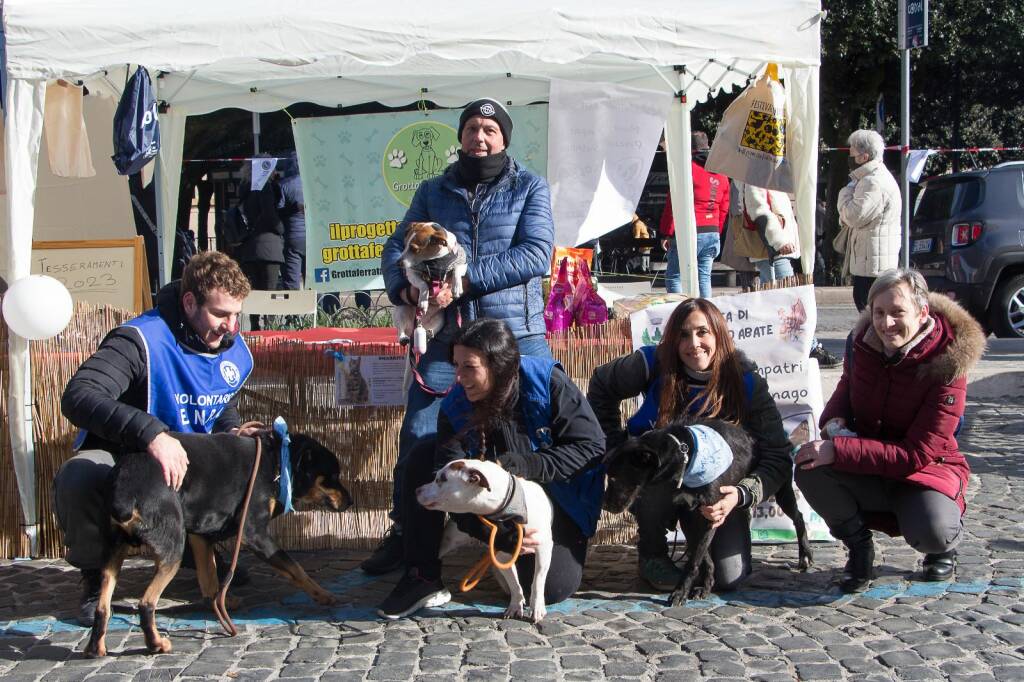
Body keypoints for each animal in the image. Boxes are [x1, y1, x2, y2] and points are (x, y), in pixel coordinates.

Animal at [81, 428, 352, 655]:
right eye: (332, 476)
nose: (351, 502)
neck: (276, 462)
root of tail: (125, 489)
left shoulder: (201, 536)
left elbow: (209, 577)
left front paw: (222, 605)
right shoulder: (255, 533)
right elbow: (296, 568)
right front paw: (323, 595)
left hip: (114, 551)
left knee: (103, 606)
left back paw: (96, 648)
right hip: (173, 548)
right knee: (146, 603)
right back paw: (156, 644)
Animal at [413, 458, 552, 618]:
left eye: (440, 479)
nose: (417, 490)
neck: (509, 512)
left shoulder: (544, 549)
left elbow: (538, 580)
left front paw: (537, 607)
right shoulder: (502, 552)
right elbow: (514, 583)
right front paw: (516, 605)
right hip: (447, 541)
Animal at [602, 417, 811, 602]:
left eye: (614, 477)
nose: (604, 505)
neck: (685, 457)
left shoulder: (712, 514)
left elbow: (694, 559)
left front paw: (681, 592)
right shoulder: (688, 515)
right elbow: (703, 556)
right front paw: (705, 585)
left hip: (781, 488)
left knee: (799, 517)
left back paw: (805, 556)